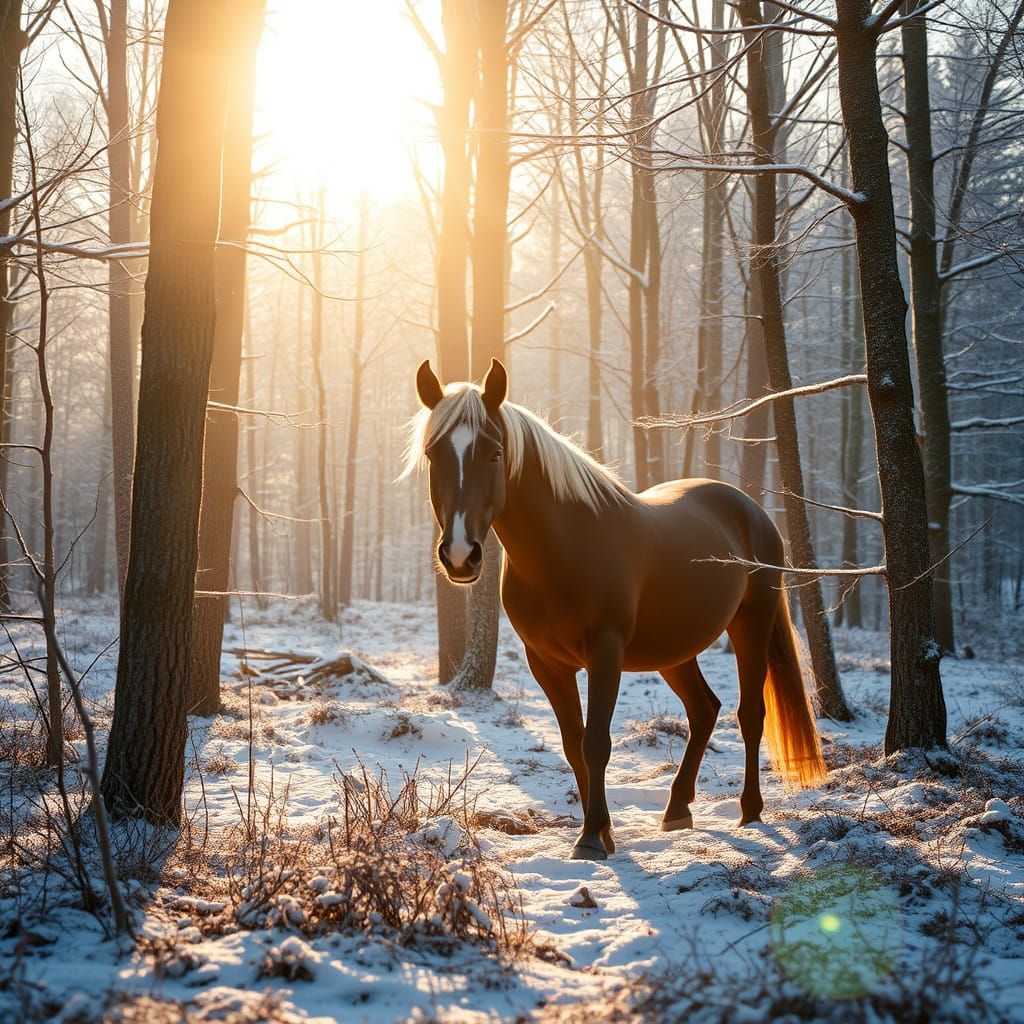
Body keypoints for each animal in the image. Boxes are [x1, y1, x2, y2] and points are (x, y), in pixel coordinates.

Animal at [405, 358, 826, 861]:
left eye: (494, 453)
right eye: (433, 455)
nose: (460, 556)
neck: (565, 547)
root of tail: (751, 510)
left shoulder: (605, 653)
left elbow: (596, 742)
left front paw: (590, 839)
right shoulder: (546, 663)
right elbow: (573, 744)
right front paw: (602, 831)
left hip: (751, 625)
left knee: (749, 715)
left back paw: (750, 810)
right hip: (674, 651)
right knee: (704, 709)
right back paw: (676, 809)